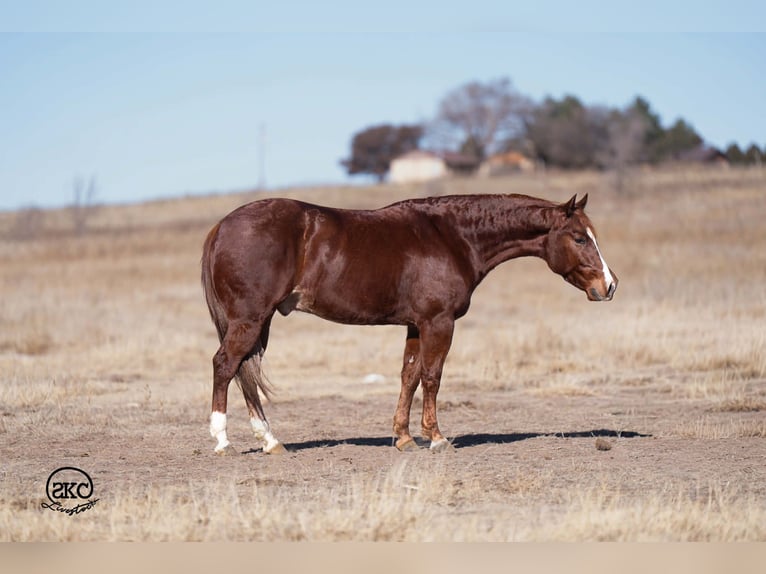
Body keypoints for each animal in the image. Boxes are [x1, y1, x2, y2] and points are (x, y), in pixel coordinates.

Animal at [201, 193, 618, 455]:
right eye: (579, 238)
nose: (609, 285)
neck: (452, 237)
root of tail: (220, 226)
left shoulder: (416, 325)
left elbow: (410, 376)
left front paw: (403, 438)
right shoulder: (438, 322)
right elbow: (432, 377)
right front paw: (436, 437)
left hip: (259, 322)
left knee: (245, 372)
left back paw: (271, 441)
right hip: (250, 319)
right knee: (225, 365)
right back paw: (223, 441)